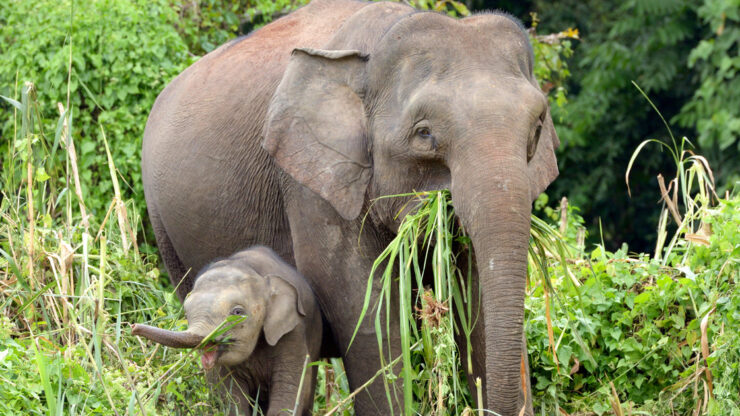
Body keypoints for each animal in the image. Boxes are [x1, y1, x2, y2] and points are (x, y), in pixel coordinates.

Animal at [132, 246, 323, 416]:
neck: (253, 270)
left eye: (237, 312)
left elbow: (289, 389)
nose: (133, 327)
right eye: (186, 311)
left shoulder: (292, 333)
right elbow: (229, 396)